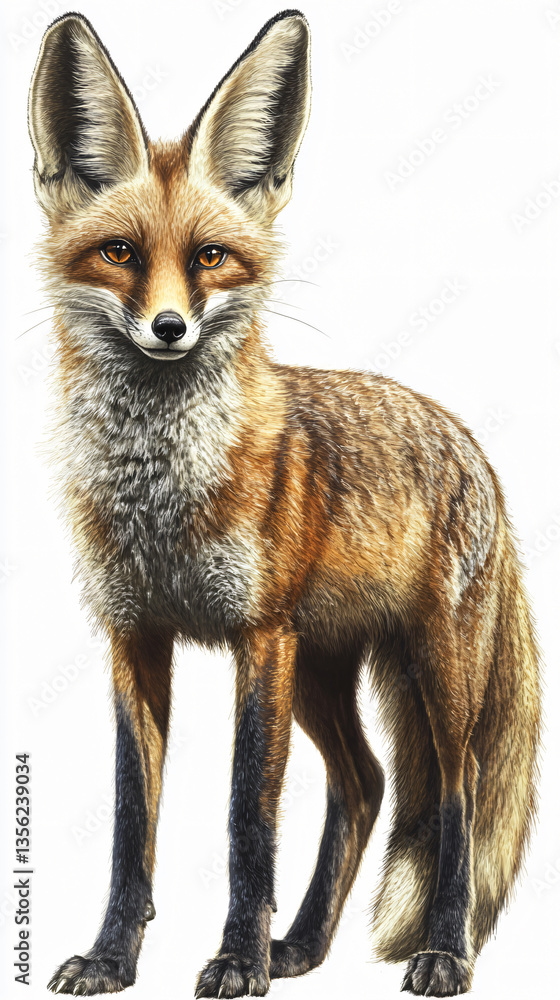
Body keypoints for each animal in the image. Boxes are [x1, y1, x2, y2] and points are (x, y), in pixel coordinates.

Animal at [28, 9, 541, 999]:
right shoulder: (135, 635)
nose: (169, 329)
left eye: (210, 258)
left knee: (451, 796)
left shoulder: (258, 637)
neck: (162, 499)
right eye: (119, 254)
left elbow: (245, 822)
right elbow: (130, 823)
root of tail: (469, 444)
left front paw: (235, 959)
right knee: (366, 783)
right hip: (322, 669)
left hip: (434, 669)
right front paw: (113, 958)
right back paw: (300, 944)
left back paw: (443, 953)